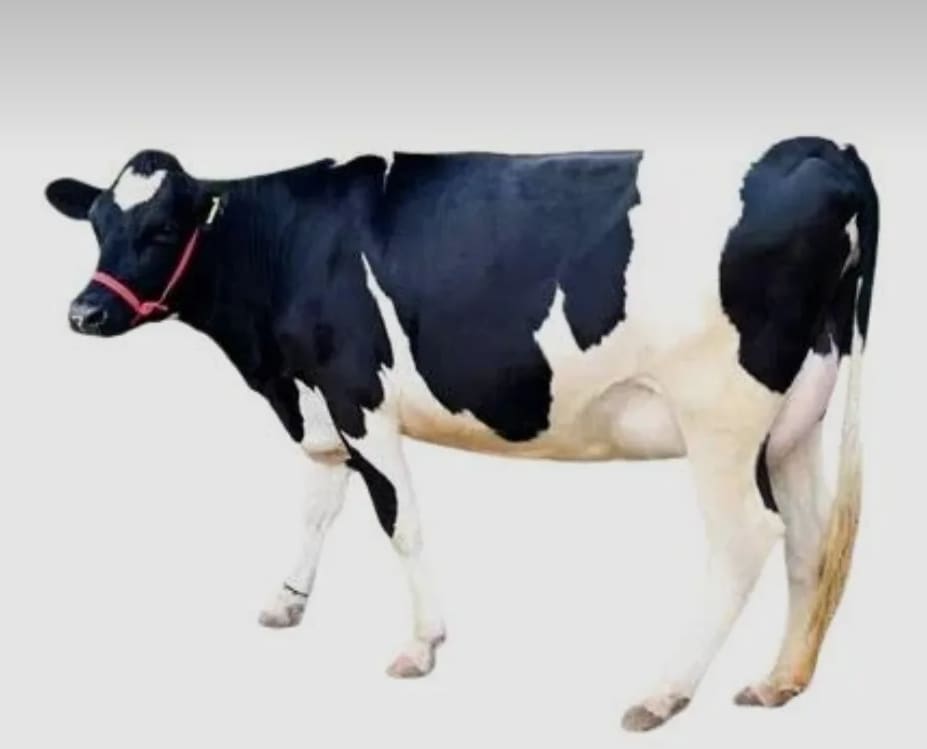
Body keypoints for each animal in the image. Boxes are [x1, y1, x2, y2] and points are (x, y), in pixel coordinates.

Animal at [46, 137, 878, 731]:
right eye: (98, 226)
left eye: (160, 229)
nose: (84, 312)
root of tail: (819, 147)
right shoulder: (315, 402)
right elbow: (317, 504)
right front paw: (286, 601)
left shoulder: (358, 396)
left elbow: (400, 521)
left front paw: (422, 643)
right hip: (796, 417)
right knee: (810, 539)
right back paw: (778, 681)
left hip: (718, 417)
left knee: (744, 538)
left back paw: (662, 692)